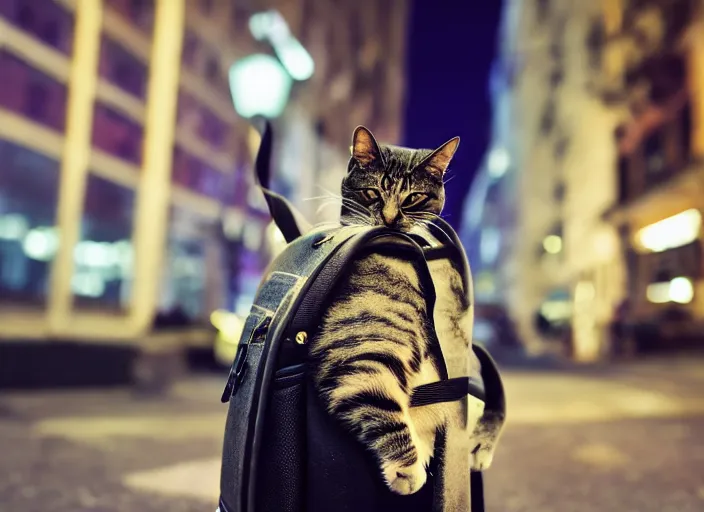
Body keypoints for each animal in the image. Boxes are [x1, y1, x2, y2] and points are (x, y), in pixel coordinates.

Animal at [310, 127, 500, 496]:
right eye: (372, 192)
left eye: (413, 198)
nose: (389, 219)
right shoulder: (363, 357)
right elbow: (385, 410)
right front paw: (408, 469)